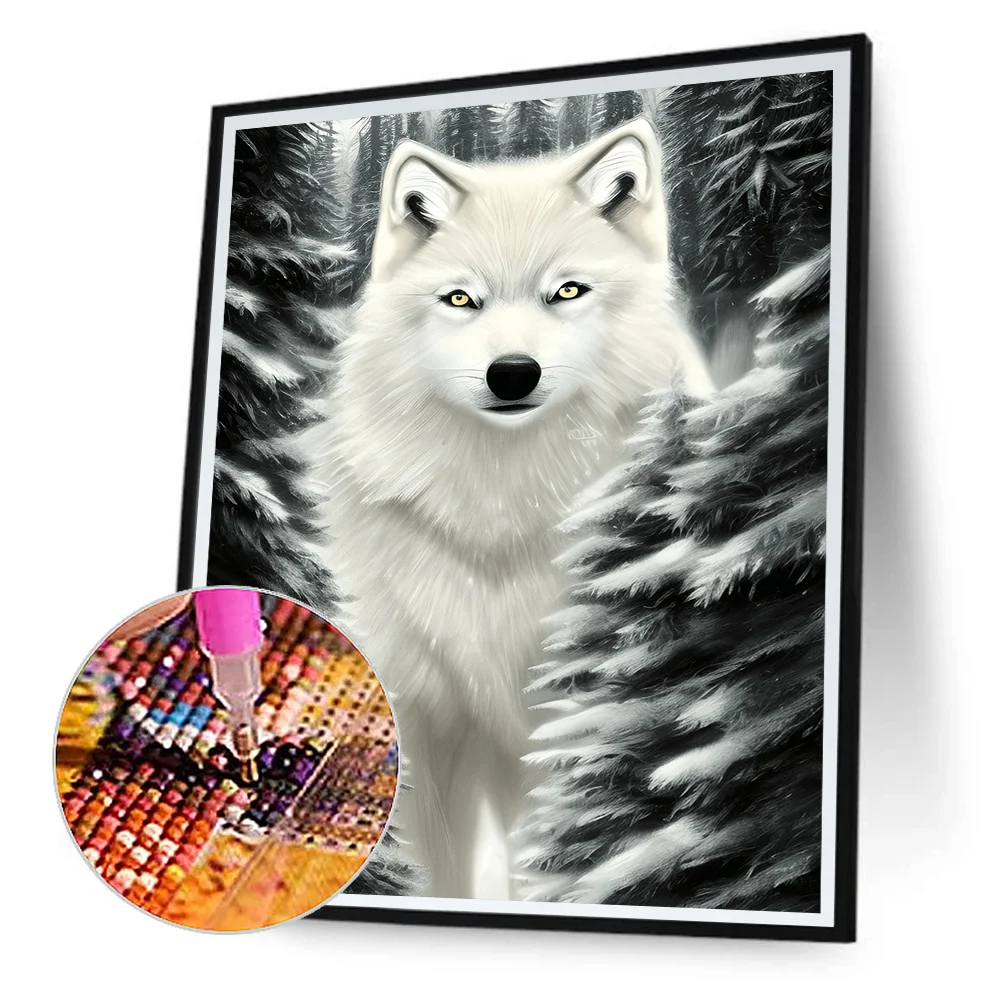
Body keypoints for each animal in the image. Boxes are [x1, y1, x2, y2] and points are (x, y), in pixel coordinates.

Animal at [310, 118, 717, 901]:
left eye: (566, 291)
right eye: (460, 300)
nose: (512, 374)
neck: (501, 503)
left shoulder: (563, 720)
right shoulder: (431, 717)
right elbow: (443, 866)